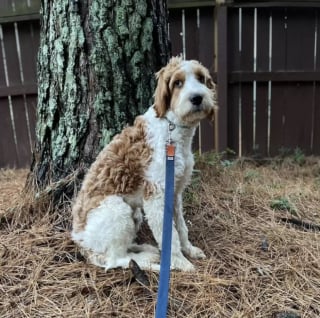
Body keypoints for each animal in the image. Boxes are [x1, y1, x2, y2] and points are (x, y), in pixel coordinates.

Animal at [72, 57, 218, 270]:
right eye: (177, 83)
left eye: (201, 78)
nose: (197, 98)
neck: (171, 129)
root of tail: (80, 243)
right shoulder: (155, 195)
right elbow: (169, 235)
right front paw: (180, 263)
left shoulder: (175, 192)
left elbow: (181, 226)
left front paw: (189, 249)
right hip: (118, 210)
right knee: (115, 259)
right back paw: (148, 261)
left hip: (134, 215)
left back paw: (144, 249)